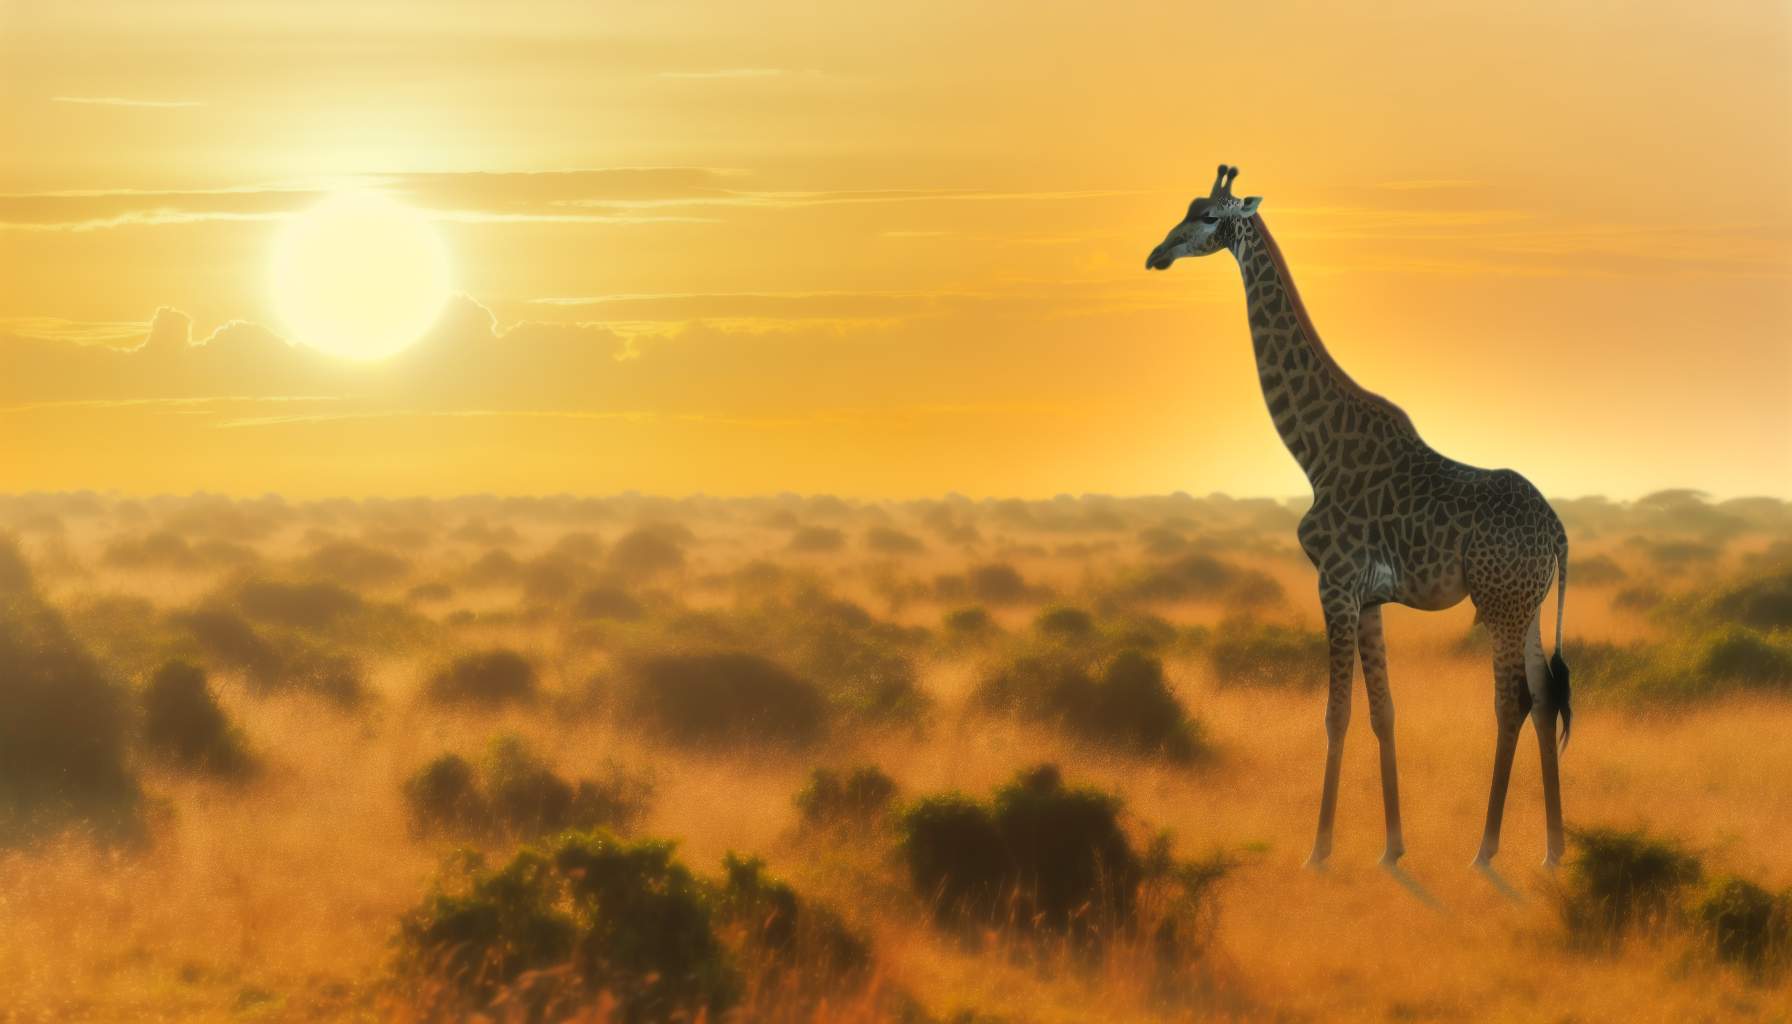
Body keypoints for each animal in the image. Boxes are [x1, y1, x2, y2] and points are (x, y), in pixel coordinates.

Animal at [1146, 165, 1572, 869]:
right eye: (1187, 208)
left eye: (1209, 217)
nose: (1157, 254)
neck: (1314, 452)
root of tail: (1560, 533)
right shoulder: (1370, 598)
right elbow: (1383, 711)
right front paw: (1392, 847)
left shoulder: (1336, 584)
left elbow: (1335, 713)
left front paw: (1318, 850)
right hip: (1529, 607)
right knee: (1542, 702)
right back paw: (1553, 850)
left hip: (1501, 605)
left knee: (1511, 704)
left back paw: (1485, 850)